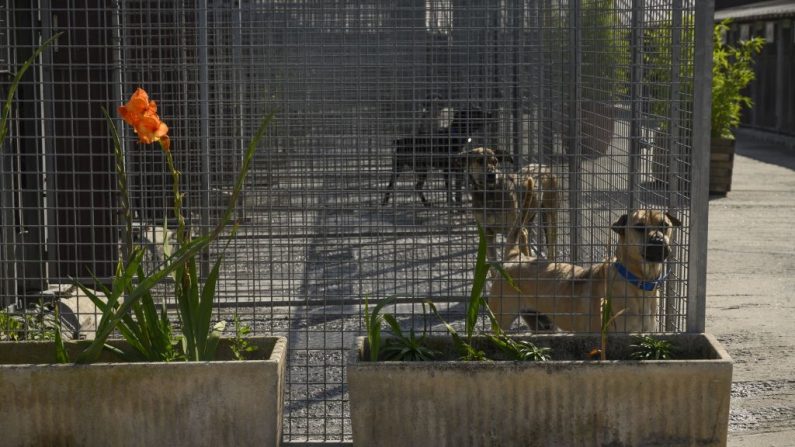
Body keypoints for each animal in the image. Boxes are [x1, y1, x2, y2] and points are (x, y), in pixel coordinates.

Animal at [492, 210, 684, 332]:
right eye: (639, 227)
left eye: (665, 225)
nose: (658, 241)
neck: (638, 281)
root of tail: (515, 256)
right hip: (501, 320)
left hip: (542, 323)